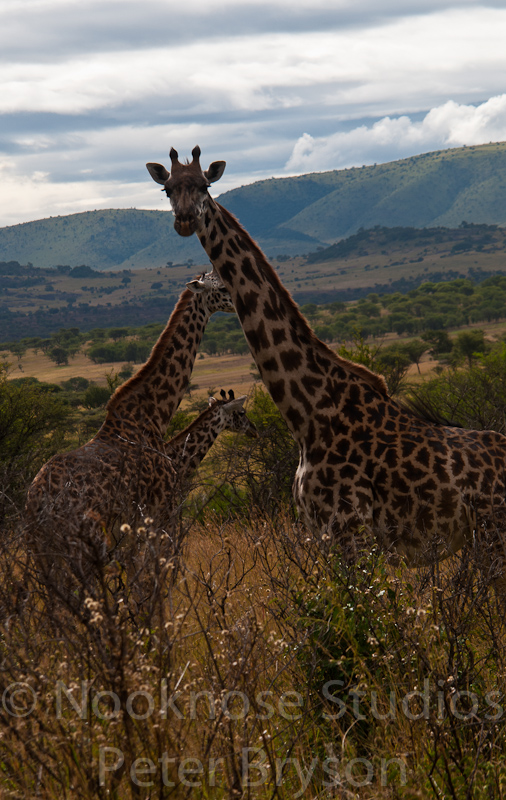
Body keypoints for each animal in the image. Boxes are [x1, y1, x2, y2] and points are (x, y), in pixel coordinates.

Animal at [146, 145, 506, 568]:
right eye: (168, 190)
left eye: (205, 185)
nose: (185, 220)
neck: (310, 415)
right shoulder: (323, 534)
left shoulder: (352, 532)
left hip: (495, 539)